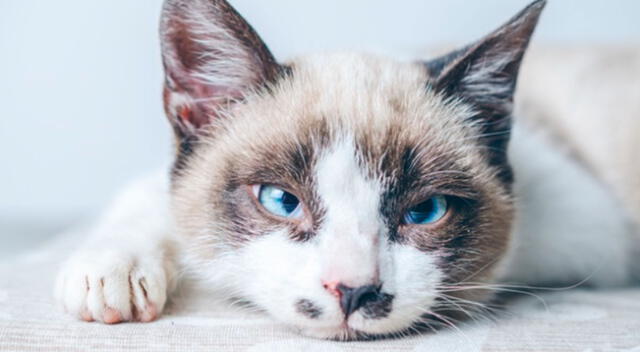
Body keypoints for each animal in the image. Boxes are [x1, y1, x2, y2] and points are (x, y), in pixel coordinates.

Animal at [56, 0, 640, 340]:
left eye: (425, 211)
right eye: (280, 201)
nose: (354, 292)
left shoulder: (593, 235)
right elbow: (151, 200)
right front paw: (113, 274)